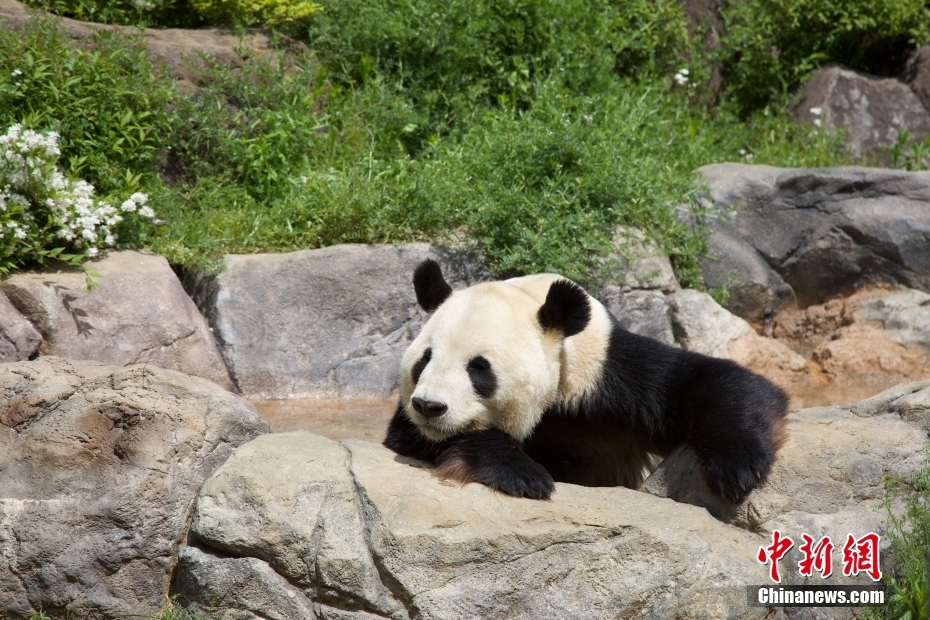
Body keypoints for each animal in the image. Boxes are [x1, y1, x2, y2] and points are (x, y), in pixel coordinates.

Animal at [384, 259, 789, 502]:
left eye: (479, 368)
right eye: (424, 360)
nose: (429, 406)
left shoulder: (608, 375)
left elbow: (714, 381)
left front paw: (737, 468)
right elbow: (413, 438)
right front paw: (524, 474)